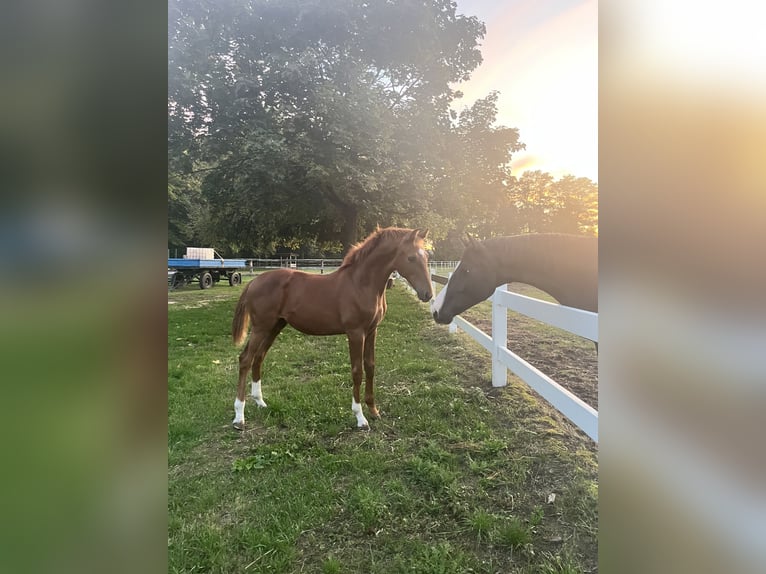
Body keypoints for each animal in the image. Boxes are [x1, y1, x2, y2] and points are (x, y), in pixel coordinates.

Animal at [231, 227, 433, 430]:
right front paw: (360, 418)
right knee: (245, 359)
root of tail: (253, 282)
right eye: (411, 258)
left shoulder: (371, 331)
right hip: (261, 327)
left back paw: (260, 402)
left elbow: (370, 367)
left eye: (426, 257)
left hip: (274, 326)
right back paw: (239, 416)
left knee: (259, 357)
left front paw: (374, 410)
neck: (361, 284)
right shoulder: (355, 333)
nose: (428, 294)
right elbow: (357, 371)